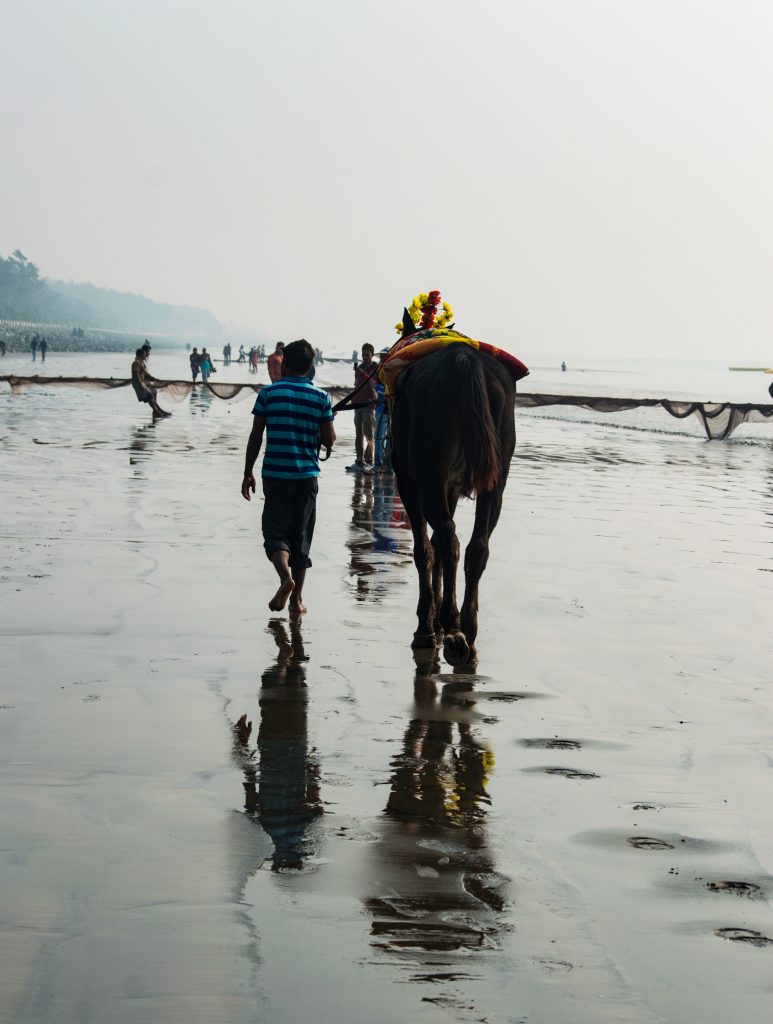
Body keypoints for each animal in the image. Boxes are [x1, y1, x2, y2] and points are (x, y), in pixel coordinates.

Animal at [389, 339, 516, 667]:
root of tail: (462, 357)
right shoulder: (450, 487)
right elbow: (435, 545)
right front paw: (434, 619)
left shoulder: (409, 481)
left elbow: (425, 549)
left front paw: (426, 625)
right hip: (494, 481)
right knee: (475, 546)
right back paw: (465, 630)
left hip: (429, 478)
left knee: (448, 540)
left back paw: (452, 628)